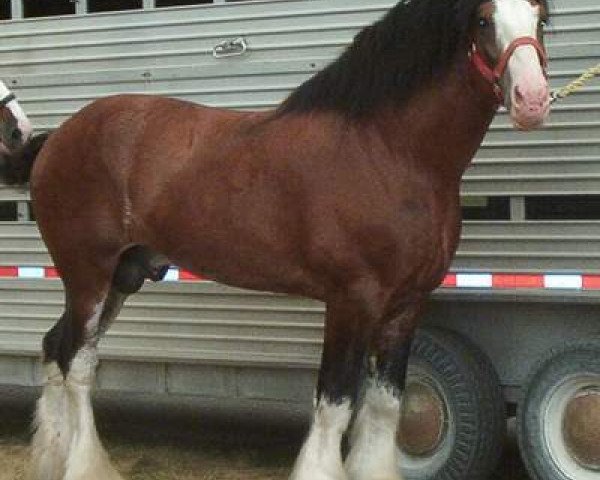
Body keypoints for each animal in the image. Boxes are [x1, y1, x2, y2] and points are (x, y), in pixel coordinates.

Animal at [1, 0, 552, 480]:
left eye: (542, 16)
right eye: (483, 20)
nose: (532, 99)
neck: (388, 151)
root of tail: (58, 138)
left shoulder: (407, 305)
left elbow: (384, 407)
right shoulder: (352, 300)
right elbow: (334, 406)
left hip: (121, 276)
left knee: (56, 347)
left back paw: (51, 461)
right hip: (88, 275)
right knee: (77, 364)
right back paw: (86, 466)